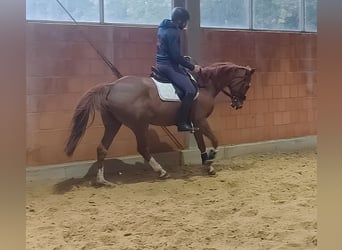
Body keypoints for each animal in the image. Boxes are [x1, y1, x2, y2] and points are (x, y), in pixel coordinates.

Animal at [65, 61, 255, 185]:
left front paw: (207, 165)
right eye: (246, 84)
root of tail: (111, 86)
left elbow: (201, 144)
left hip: (113, 124)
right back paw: (161, 172)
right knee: (143, 148)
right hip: (139, 125)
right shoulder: (201, 120)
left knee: (102, 148)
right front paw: (211, 160)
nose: (238, 104)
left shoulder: (196, 123)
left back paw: (102, 180)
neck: (204, 85)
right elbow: (215, 140)